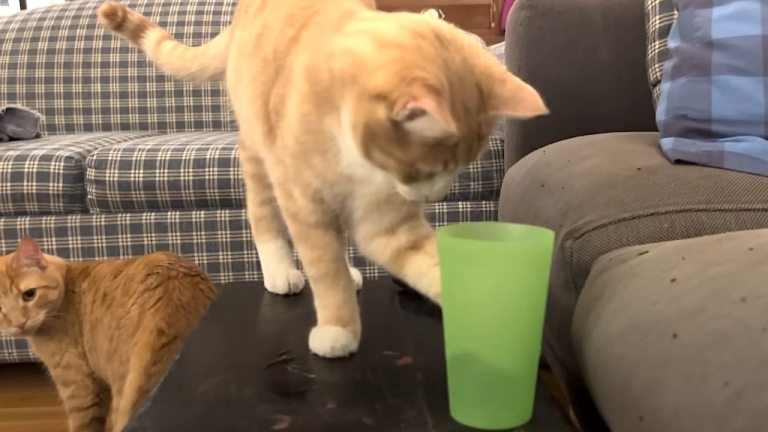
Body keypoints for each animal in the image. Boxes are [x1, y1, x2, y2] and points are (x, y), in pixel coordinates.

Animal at [99, 0, 548, 358]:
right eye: (432, 168)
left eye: (462, 165)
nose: (439, 194)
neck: (355, 159)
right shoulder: (304, 206)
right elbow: (324, 272)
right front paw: (338, 330)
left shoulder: (386, 223)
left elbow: (428, 262)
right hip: (259, 156)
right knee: (264, 218)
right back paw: (281, 272)